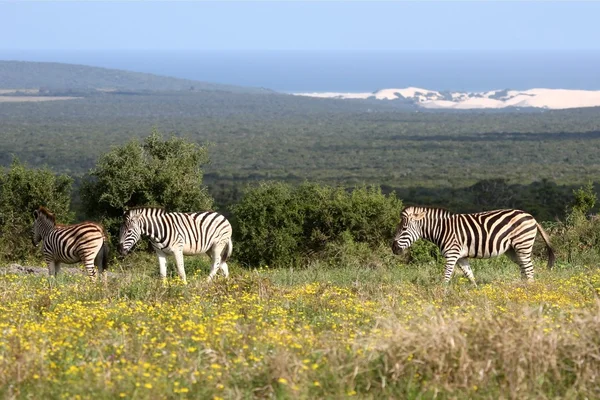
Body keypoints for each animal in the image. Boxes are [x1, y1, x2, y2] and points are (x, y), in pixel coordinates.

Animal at [392, 206, 556, 284]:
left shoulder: (452, 255)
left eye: (404, 229)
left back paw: (529, 289)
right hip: (512, 250)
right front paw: (476, 293)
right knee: (524, 267)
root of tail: (531, 217)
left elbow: (446, 276)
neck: (442, 229)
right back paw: (522, 288)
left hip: (522, 244)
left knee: (529, 268)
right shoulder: (461, 257)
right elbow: (470, 275)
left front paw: (441, 294)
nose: (393, 248)